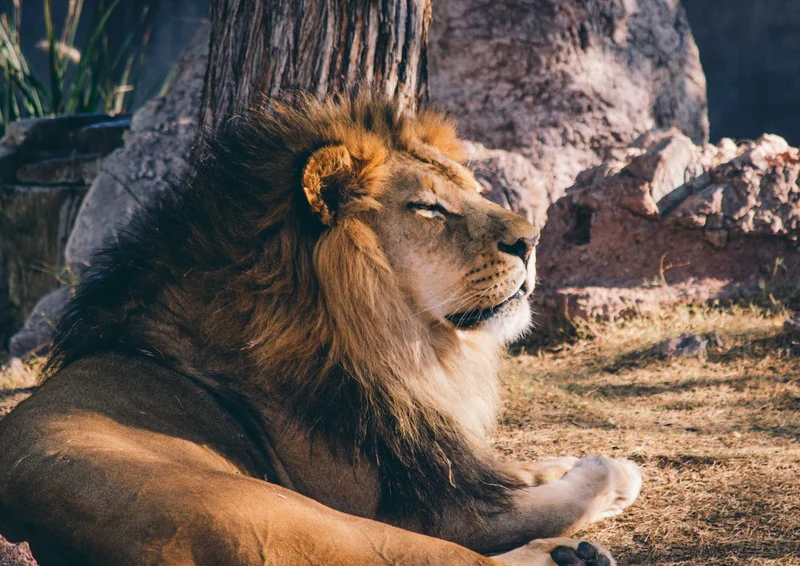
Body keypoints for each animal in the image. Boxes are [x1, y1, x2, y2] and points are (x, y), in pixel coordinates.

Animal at [0, 94, 642, 566]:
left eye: (473, 192)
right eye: (429, 208)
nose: (532, 240)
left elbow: (505, 470)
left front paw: (568, 460)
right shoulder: (415, 506)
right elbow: (541, 501)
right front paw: (608, 471)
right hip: (302, 518)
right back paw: (572, 554)